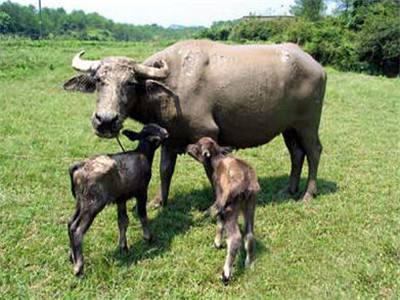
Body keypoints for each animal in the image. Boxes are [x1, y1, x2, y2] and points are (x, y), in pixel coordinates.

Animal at [62, 39, 324, 205]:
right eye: (99, 80)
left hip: (308, 124)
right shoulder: (169, 137)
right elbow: (165, 170)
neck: (172, 87)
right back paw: (289, 189)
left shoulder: (207, 133)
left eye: (130, 83)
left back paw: (308, 193)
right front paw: (159, 201)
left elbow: (212, 170)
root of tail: (315, 64)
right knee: (296, 153)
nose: (106, 120)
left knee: (313, 151)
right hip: (289, 127)